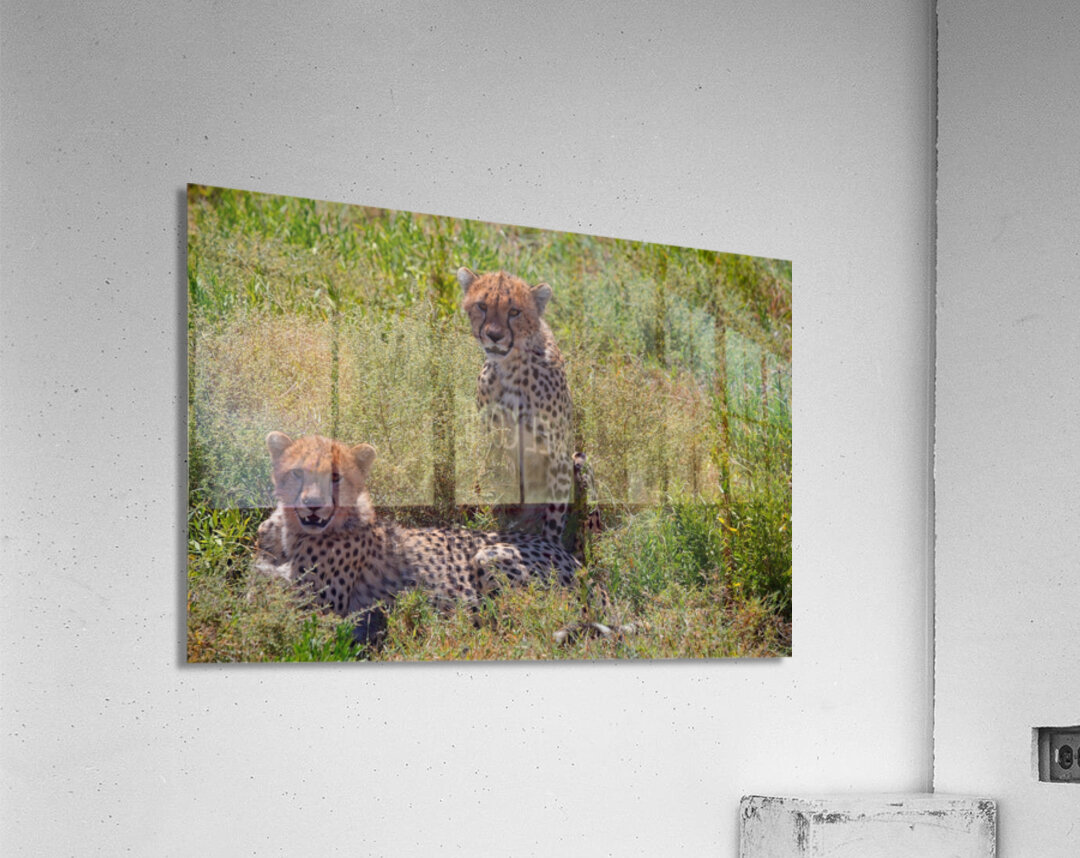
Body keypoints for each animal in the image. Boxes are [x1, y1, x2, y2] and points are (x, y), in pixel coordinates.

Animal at [254, 432, 605, 636]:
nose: (313, 505)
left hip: (488, 557)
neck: (290, 534)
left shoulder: (322, 613)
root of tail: (551, 541)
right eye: (297, 472)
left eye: (336, 477)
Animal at [457, 266, 577, 544]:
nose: (494, 335)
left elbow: (554, 512)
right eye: (482, 306)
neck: (512, 367)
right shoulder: (492, 440)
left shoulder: (558, 453)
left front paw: (550, 546)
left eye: (514, 312)